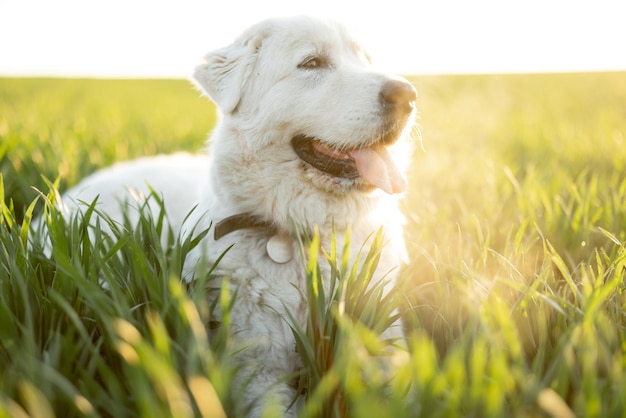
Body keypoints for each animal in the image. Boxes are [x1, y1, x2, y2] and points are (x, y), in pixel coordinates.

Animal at [58, 15, 416, 414]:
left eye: (366, 60)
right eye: (312, 63)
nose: (407, 94)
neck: (302, 234)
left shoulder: (383, 342)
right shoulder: (255, 367)